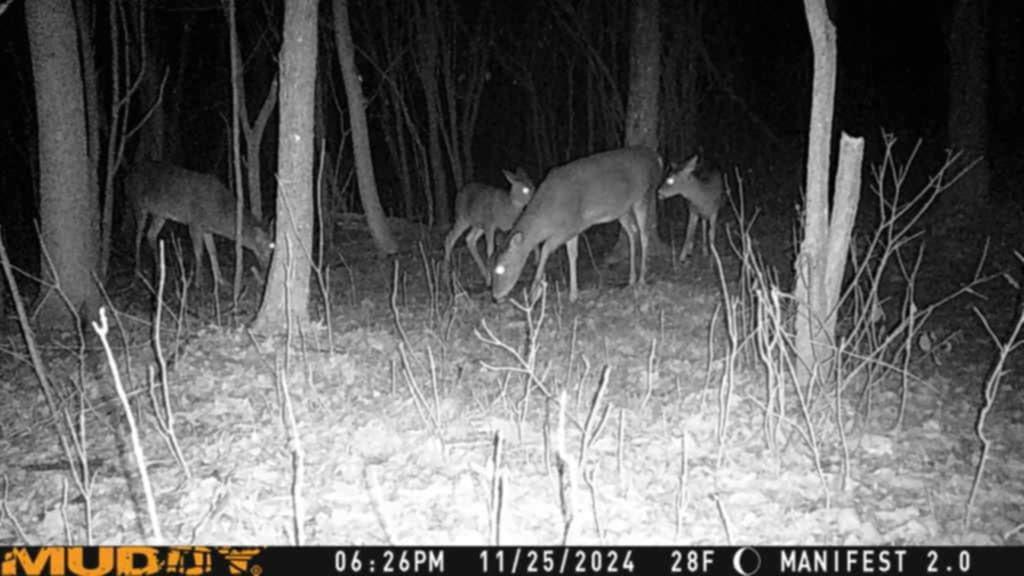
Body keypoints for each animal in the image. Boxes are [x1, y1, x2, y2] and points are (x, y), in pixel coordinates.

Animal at [489, 145, 663, 303]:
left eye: (501, 268)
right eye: (491, 265)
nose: (495, 296)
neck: (548, 217)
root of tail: (656, 157)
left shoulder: (571, 226)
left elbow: (546, 249)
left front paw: (534, 293)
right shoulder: (573, 228)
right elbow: (572, 255)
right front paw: (573, 294)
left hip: (644, 194)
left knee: (644, 234)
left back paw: (641, 280)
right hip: (622, 209)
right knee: (632, 232)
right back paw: (631, 279)